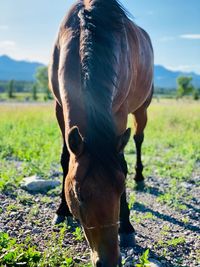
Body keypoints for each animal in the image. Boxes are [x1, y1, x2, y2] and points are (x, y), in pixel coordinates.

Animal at [48, 0, 153, 267]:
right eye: (78, 194)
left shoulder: (120, 113)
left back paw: (140, 176)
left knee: (138, 139)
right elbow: (65, 159)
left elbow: (122, 162)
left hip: (142, 108)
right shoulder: (59, 107)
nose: (109, 261)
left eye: (120, 187)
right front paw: (61, 211)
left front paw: (126, 227)